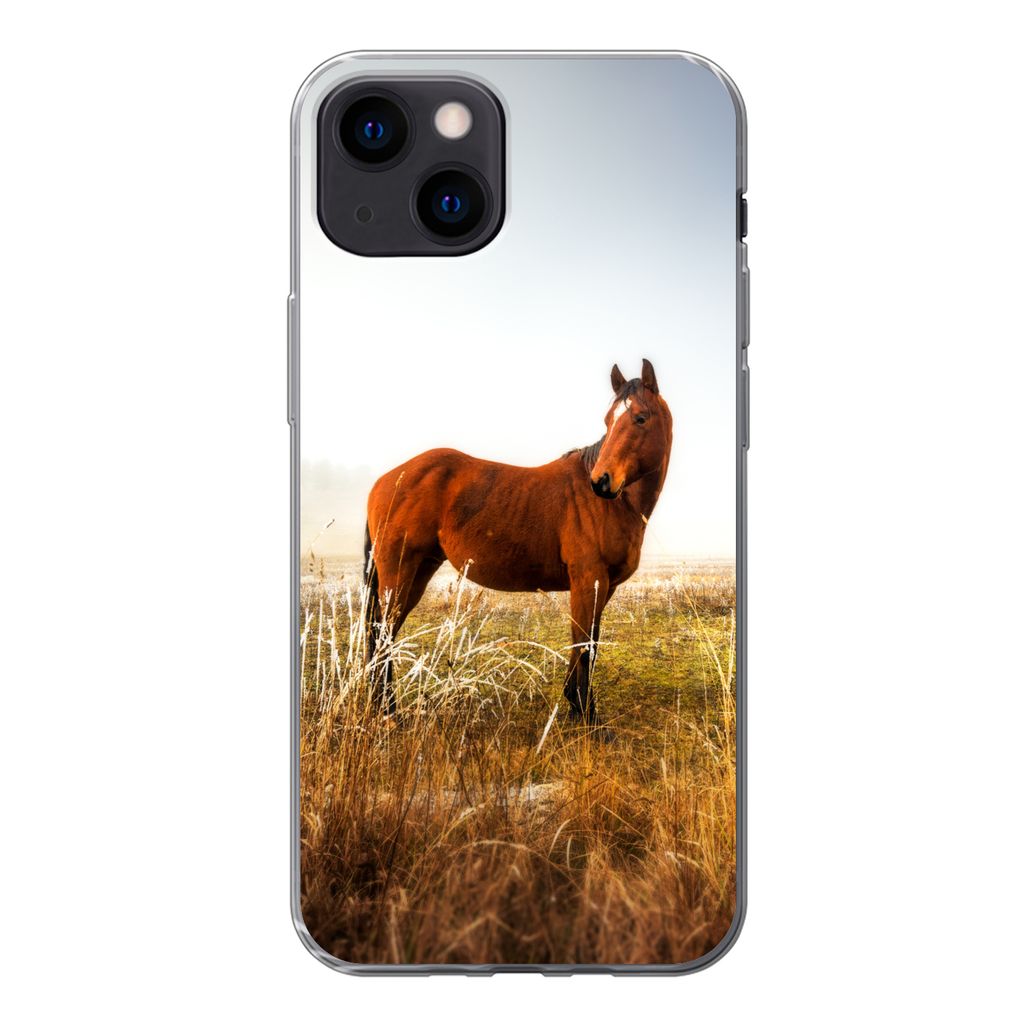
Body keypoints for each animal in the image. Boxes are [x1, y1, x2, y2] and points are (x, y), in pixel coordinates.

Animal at [362, 359, 673, 725]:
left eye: (640, 418)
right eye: (609, 421)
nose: (601, 481)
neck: (616, 504)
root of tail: (386, 481)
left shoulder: (603, 586)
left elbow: (587, 643)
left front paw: (576, 706)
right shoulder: (588, 580)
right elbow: (584, 645)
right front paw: (586, 715)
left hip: (418, 571)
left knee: (384, 633)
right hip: (398, 571)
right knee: (383, 634)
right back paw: (388, 712)